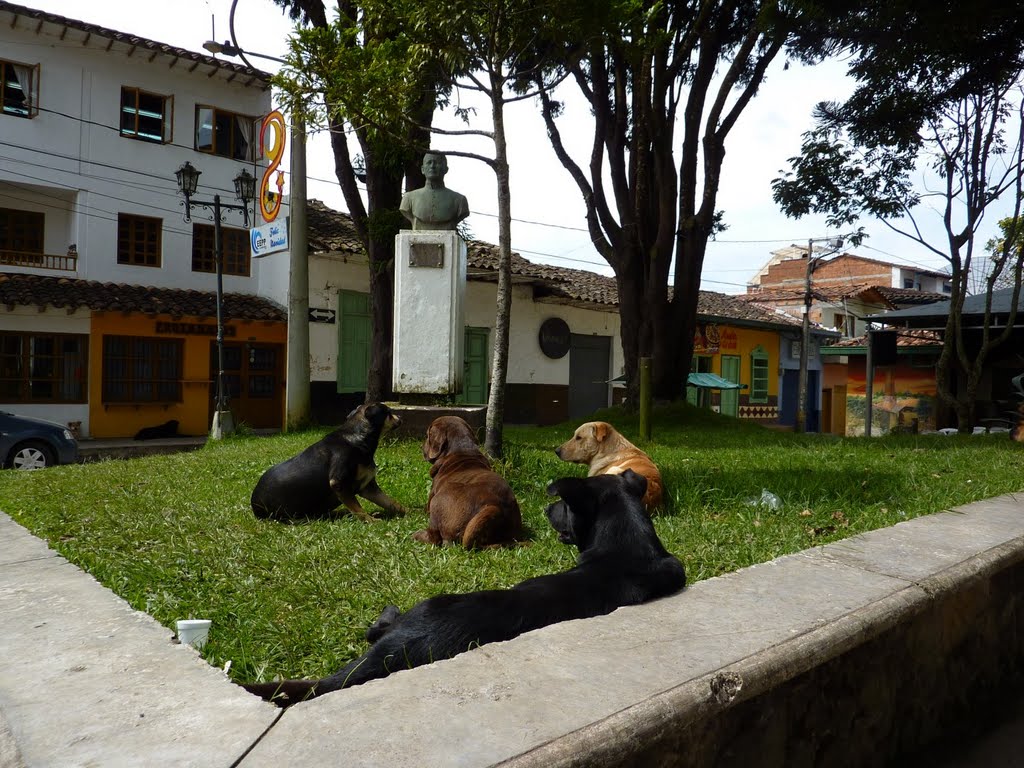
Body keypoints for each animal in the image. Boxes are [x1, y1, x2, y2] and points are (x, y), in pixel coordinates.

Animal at [242, 466, 684, 708]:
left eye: (562, 506)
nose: (546, 507)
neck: (628, 546)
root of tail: (396, 652)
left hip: (424, 606)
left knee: (378, 626)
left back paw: (385, 615)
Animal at [249, 403, 405, 524]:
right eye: (389, 413)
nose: (400, 417)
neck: (358, 437)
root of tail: (254, 506)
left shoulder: (368, 487)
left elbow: (391, 502)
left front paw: (408, 512)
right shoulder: (339, 483)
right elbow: (358, 508)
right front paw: (371, 520)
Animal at [413, 417, 524, 548]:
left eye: (427, 436)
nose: (420, 447)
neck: (462, 449)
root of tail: (495, 507)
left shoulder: (429, 504)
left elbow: (417, 508)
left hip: (438, 500)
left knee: (435, 538)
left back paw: (416, 535)